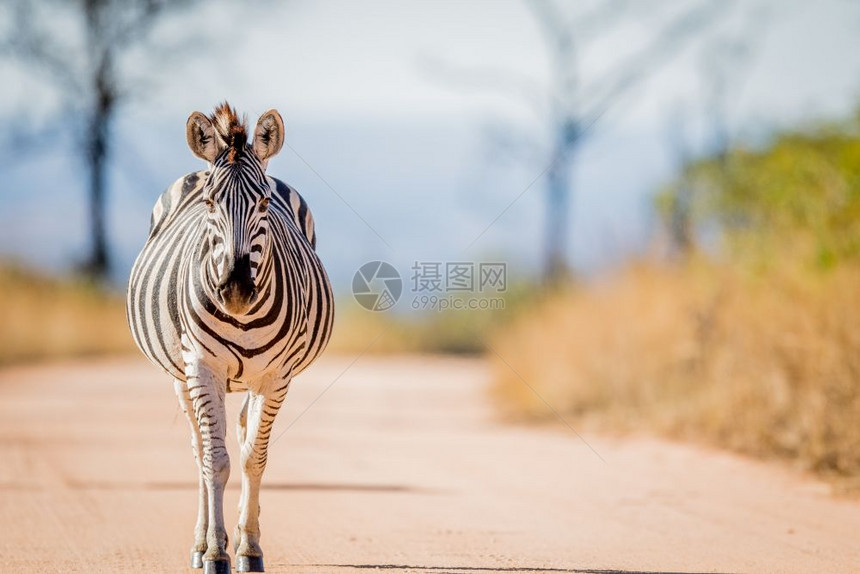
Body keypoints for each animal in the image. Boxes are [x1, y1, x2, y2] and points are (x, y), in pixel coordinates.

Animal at [127, 104, 336, 574]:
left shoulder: (276, 377)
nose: (236, 289)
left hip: (248, 380)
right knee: (200, 449)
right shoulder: (201, 367)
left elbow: (252, 457)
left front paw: (249, 547)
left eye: (263, 203)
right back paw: (201, 541)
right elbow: (215, 461)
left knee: (239, 435)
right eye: (209, 203)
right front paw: (215, 552)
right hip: (183, 377)